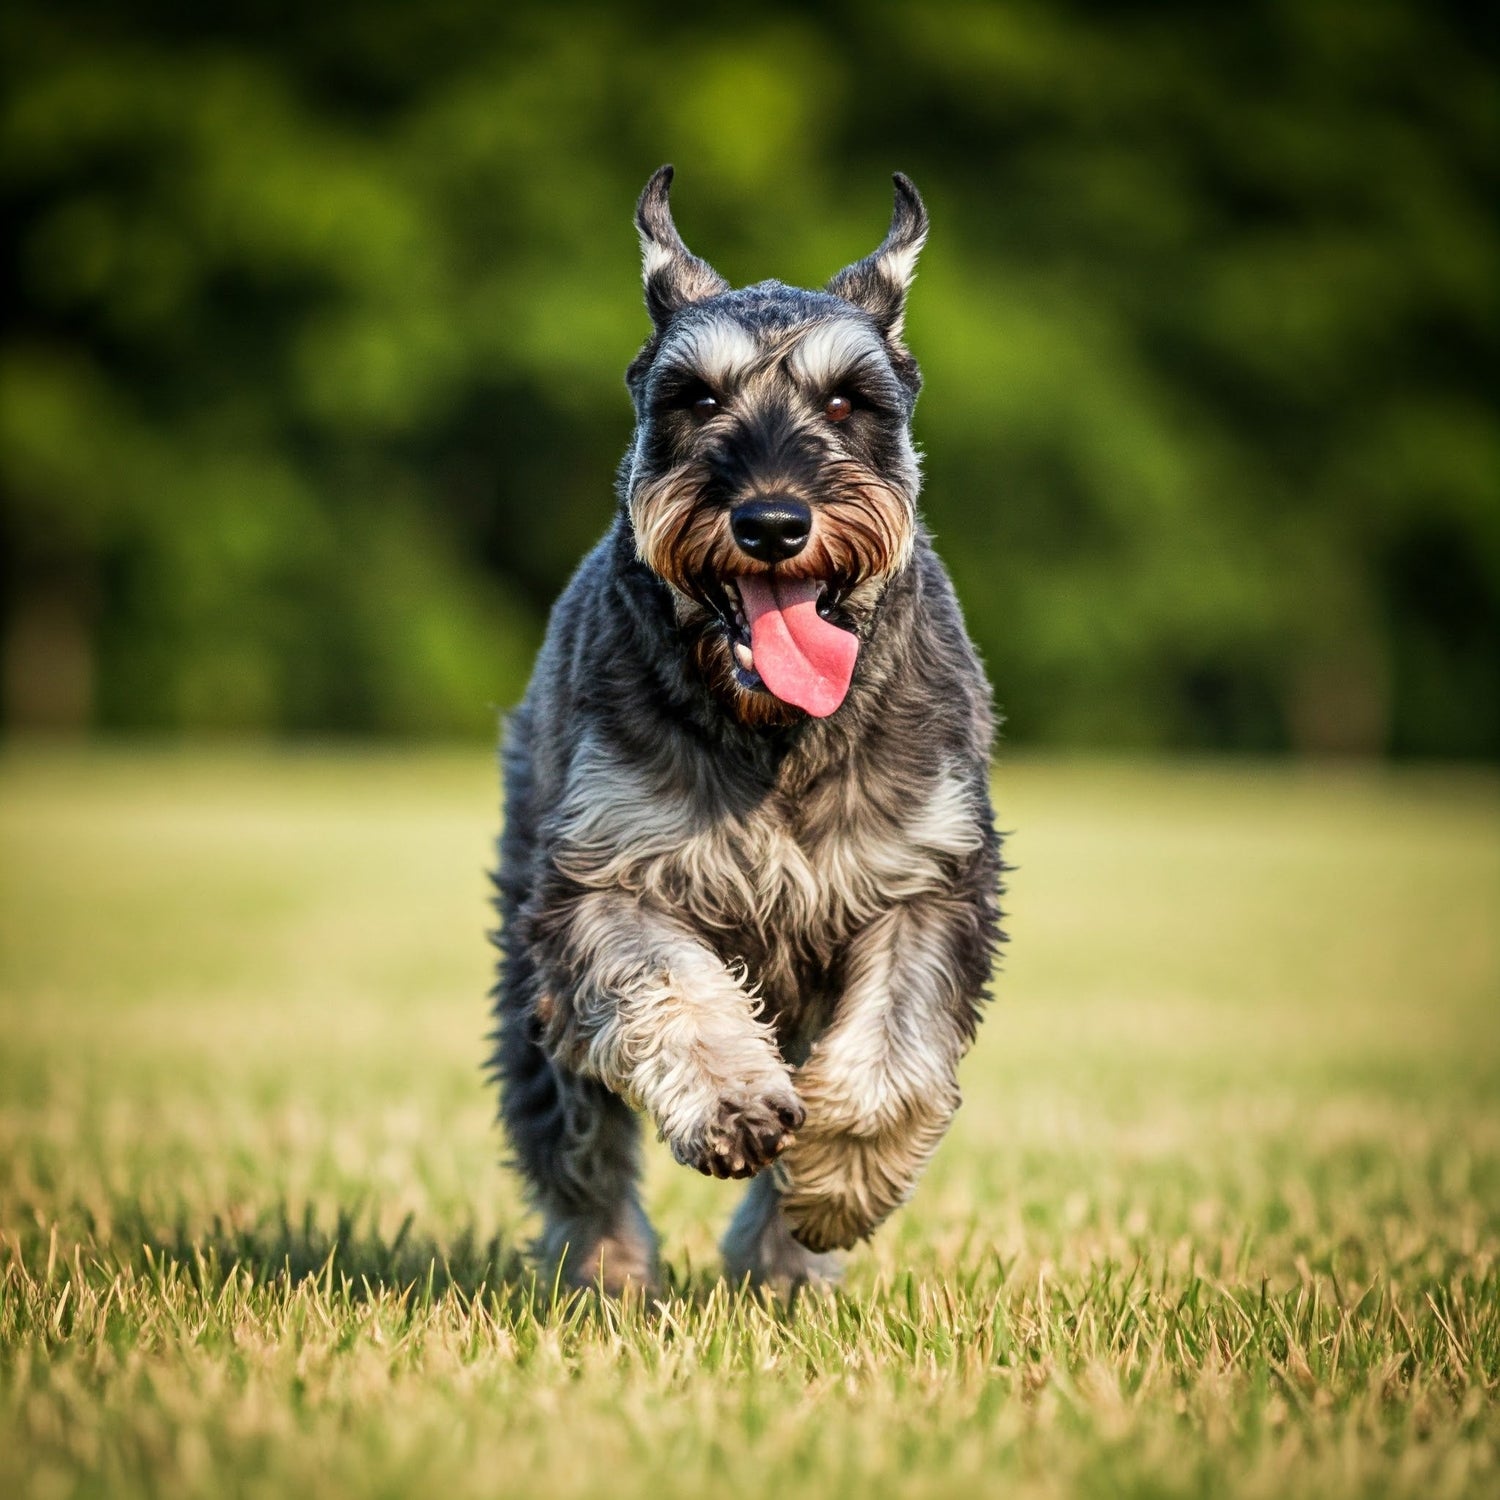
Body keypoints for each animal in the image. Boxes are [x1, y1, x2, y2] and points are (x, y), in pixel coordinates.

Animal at [498, 161, 1002, 1290]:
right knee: (577, 1148)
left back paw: (786, 1269)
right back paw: (608, 1275)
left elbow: (892, 1060)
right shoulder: (605, 879)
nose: (772, 522)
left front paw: (834, 1188)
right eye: (695, 398)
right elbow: (671, 986)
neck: (772, 732)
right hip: (532, 988)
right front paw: (732, 1104)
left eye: (849, 399)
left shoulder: (926, 882)